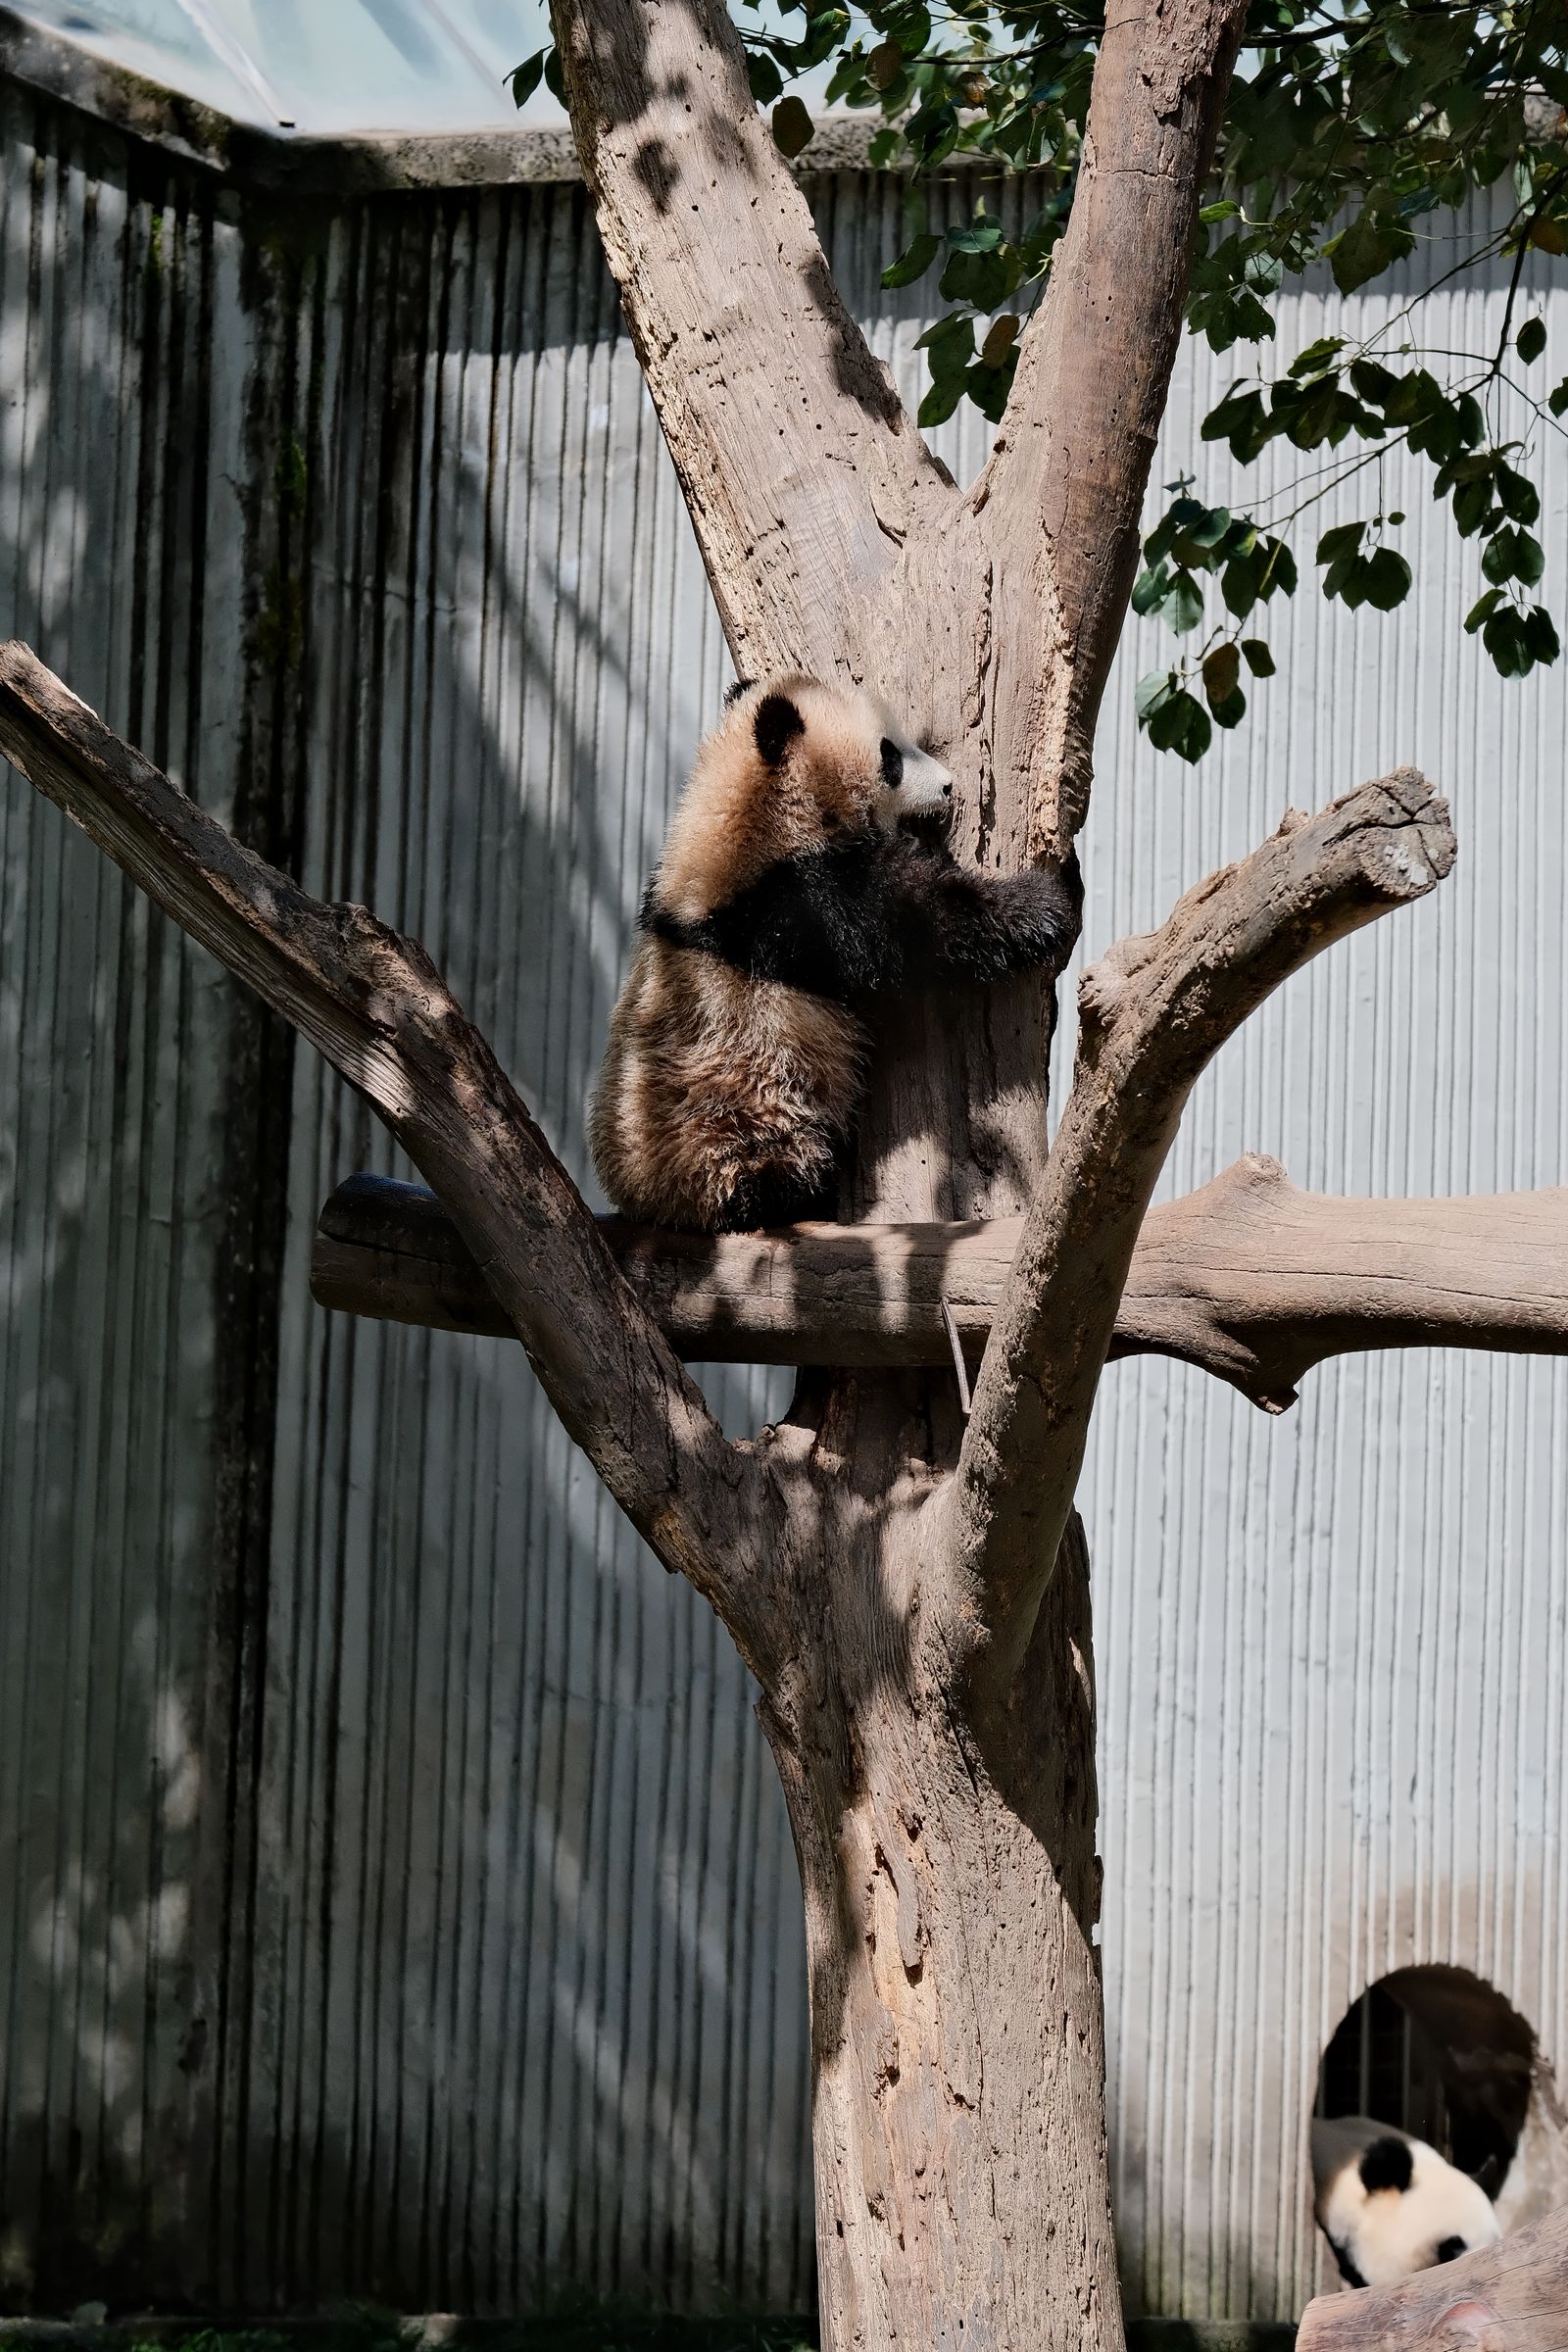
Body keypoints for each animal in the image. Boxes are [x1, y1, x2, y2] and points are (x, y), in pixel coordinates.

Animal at [589, 672, 1081, 1232]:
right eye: (890, 755)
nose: (949, 786)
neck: (743, 807)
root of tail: (647, 1204)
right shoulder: (796, 901)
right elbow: (920, 926)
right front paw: (1047, 900)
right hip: (743, 1123)